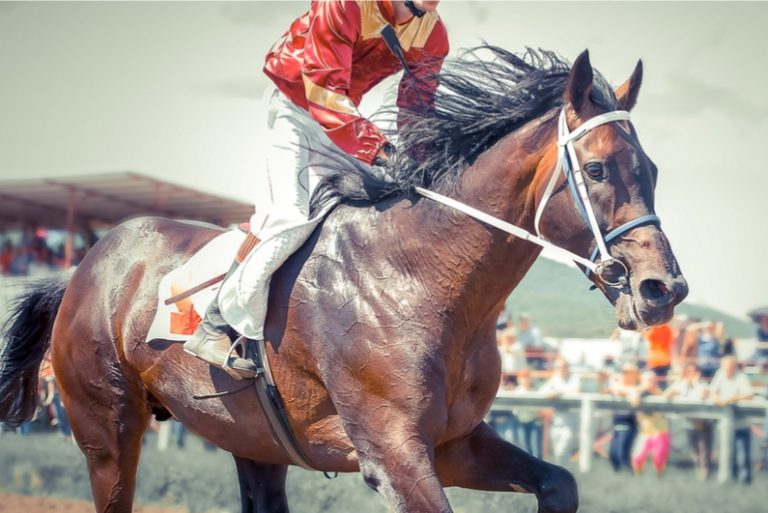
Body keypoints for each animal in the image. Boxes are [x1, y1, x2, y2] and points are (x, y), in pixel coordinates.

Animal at [0, 47, 688, 513]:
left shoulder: (453, 442)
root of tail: (84, 267)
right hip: (107, 429)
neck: (421, 278)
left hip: (251, 440)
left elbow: (561, 483)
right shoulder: (392, 451)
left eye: (653, 169)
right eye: (597, 169)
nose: (663, 289)